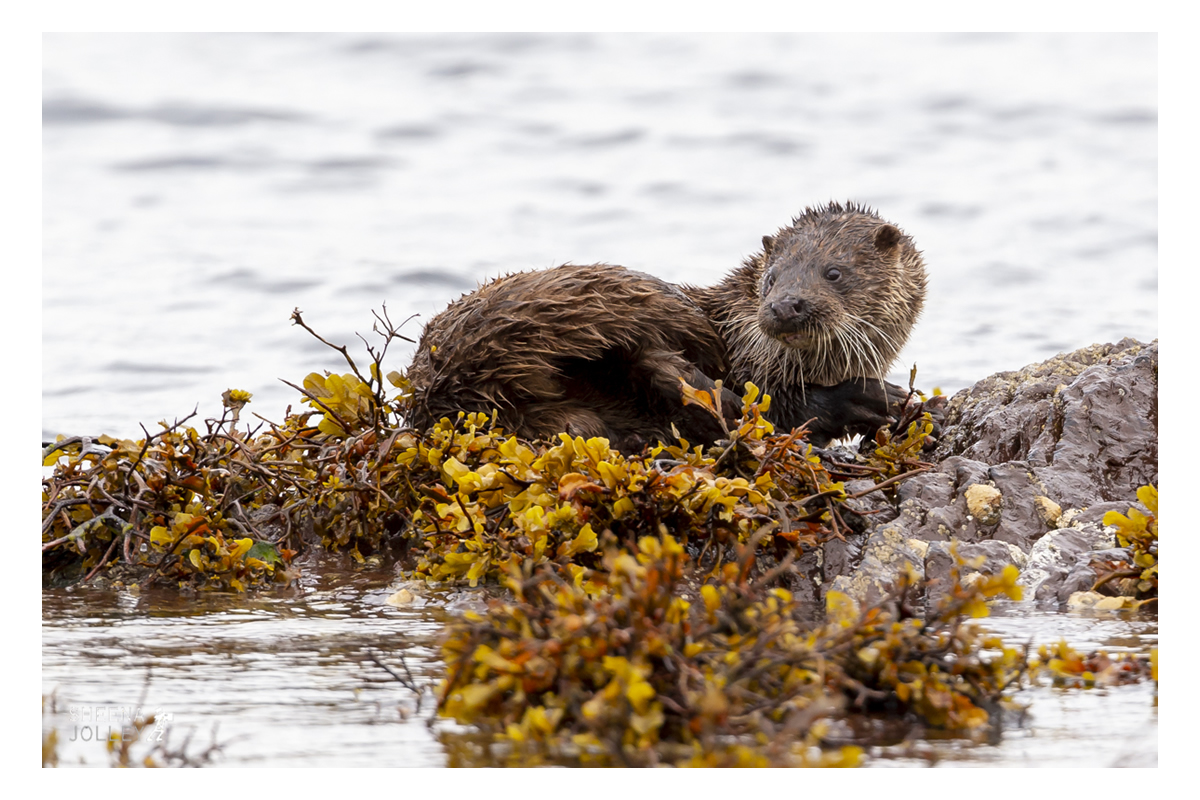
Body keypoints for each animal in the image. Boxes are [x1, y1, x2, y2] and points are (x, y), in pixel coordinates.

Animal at [405, 203, 926, 453]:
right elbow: (781, 405)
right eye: (772, 278)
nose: (785, 306)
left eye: (833, 272)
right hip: (616, 291)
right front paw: (874, 398)